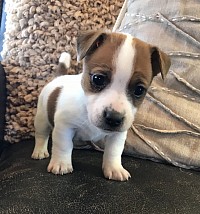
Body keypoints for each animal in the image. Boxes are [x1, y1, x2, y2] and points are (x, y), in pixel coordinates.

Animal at [31, 29, 170, 181]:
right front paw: (61, 163)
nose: (114, 118)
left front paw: (114, 168)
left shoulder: (117, 136)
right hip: (41, 119)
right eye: (98, 79)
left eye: (139, 90)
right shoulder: (64, 127)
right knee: (41, 135)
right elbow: (63, 145)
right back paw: (39, 151)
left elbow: (114, 152)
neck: (87, 110)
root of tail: (58, 78)